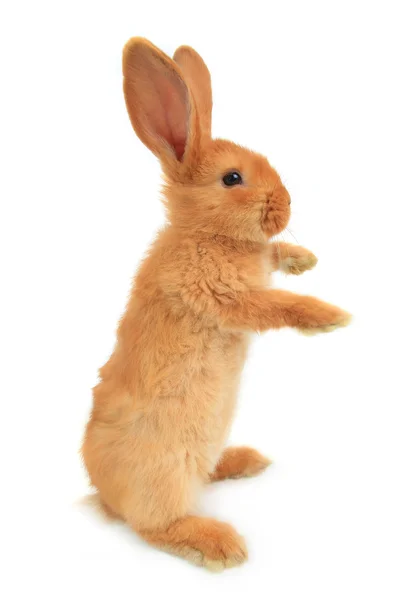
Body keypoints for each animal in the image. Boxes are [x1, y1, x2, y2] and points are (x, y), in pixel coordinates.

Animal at [81, 37, 350, 572]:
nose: (286, 205)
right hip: (164, 473)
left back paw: (243, 461)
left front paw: (305, 257)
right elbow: (276, 304)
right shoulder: (225, 298)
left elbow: (274, 258)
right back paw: (218, 543)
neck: (207, 234)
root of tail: (106, 495)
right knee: (154, 526)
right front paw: (328, 316)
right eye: (232, 178)